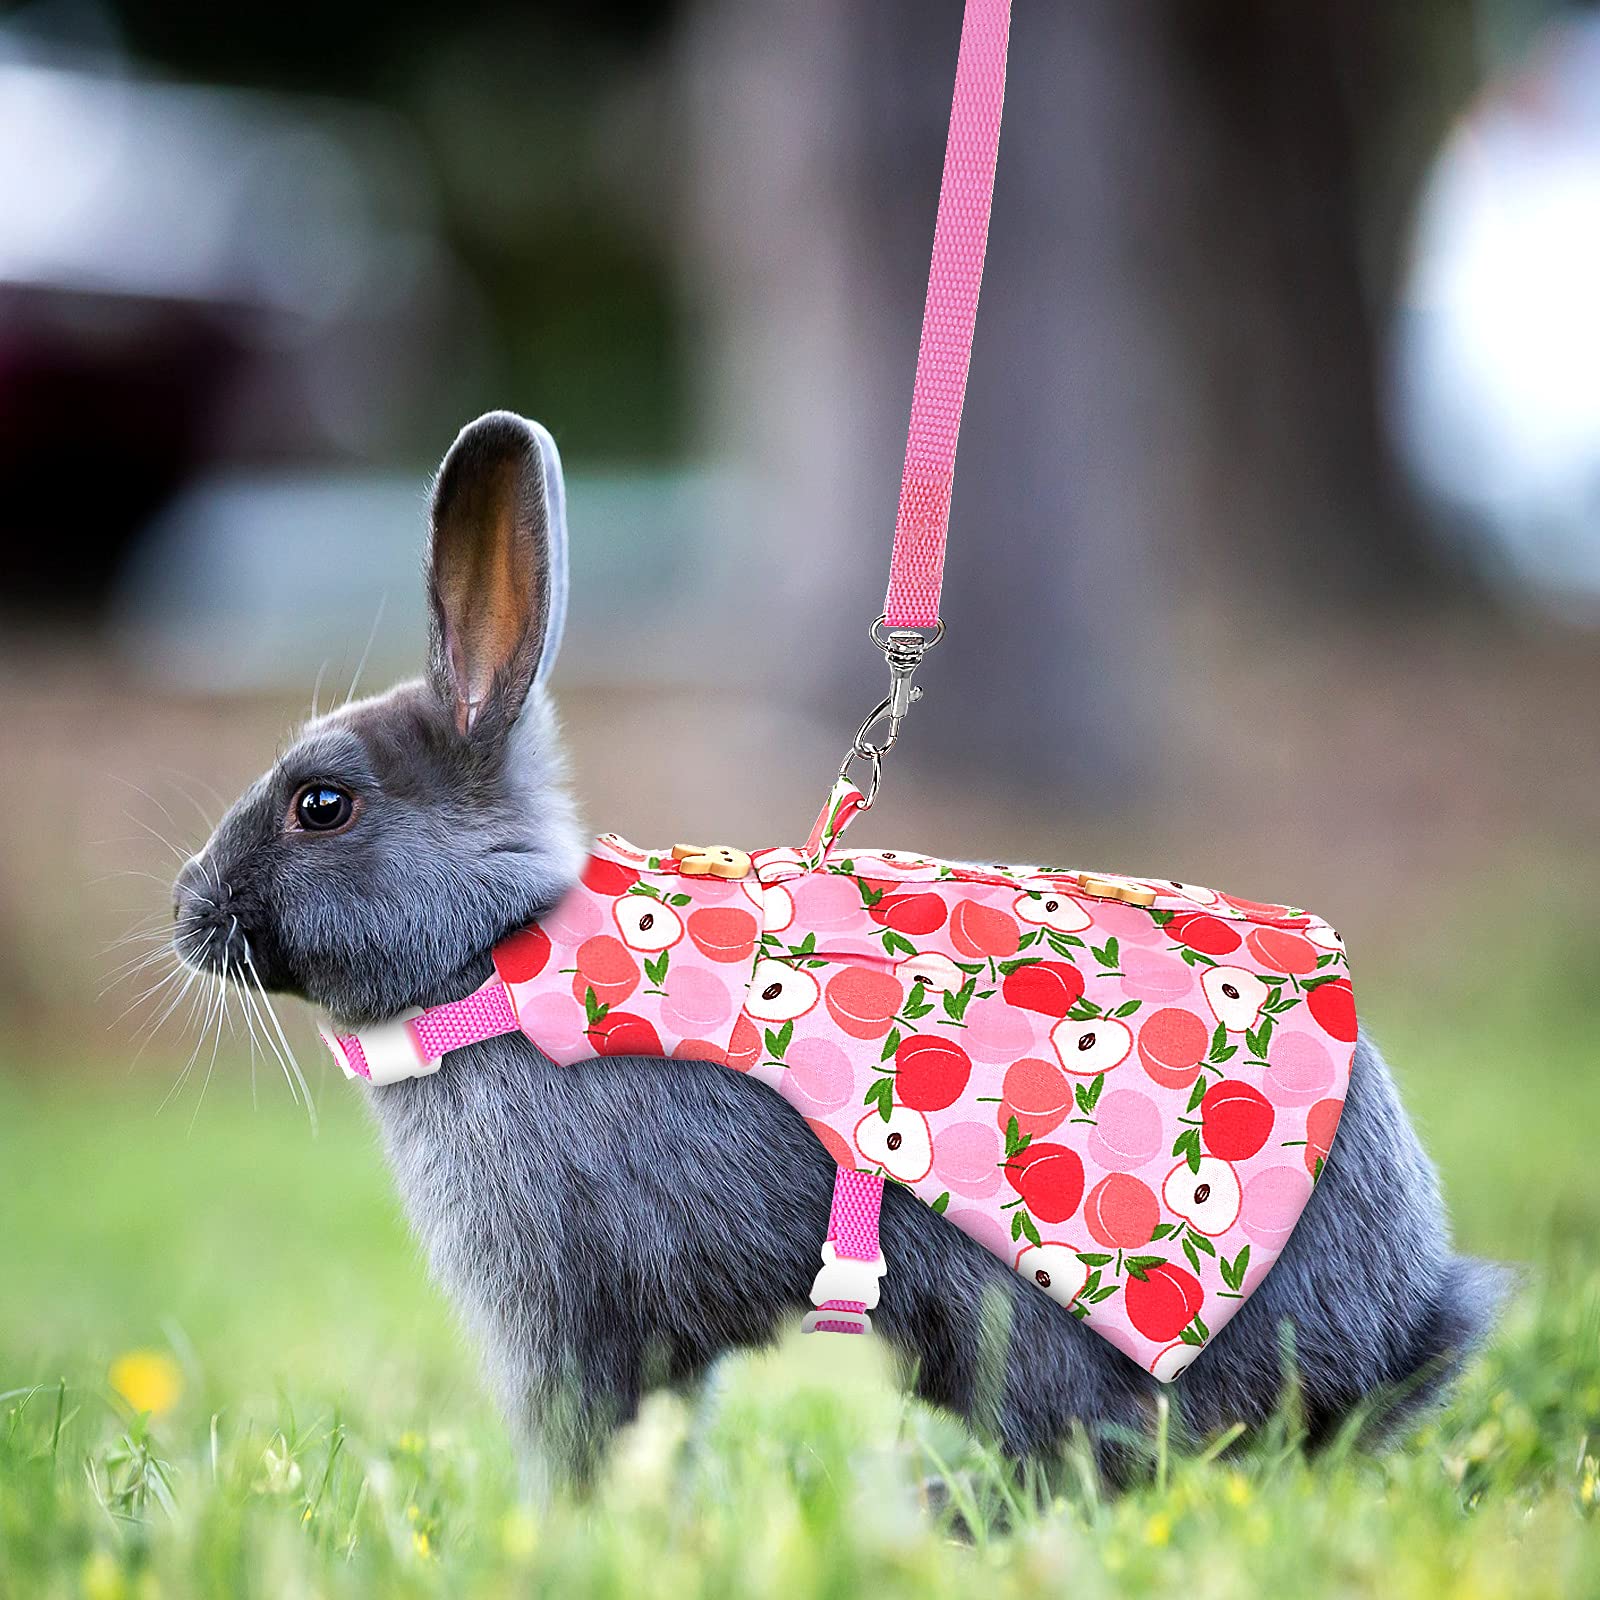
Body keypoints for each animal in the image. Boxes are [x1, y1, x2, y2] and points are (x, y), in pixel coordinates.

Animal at [171, 411, 1504, 1489]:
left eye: (322, 805)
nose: (188, 909)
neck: (494, 955)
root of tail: (1386, 1339)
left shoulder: (571, 1305)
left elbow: (590, 1427)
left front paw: (571, 1525)